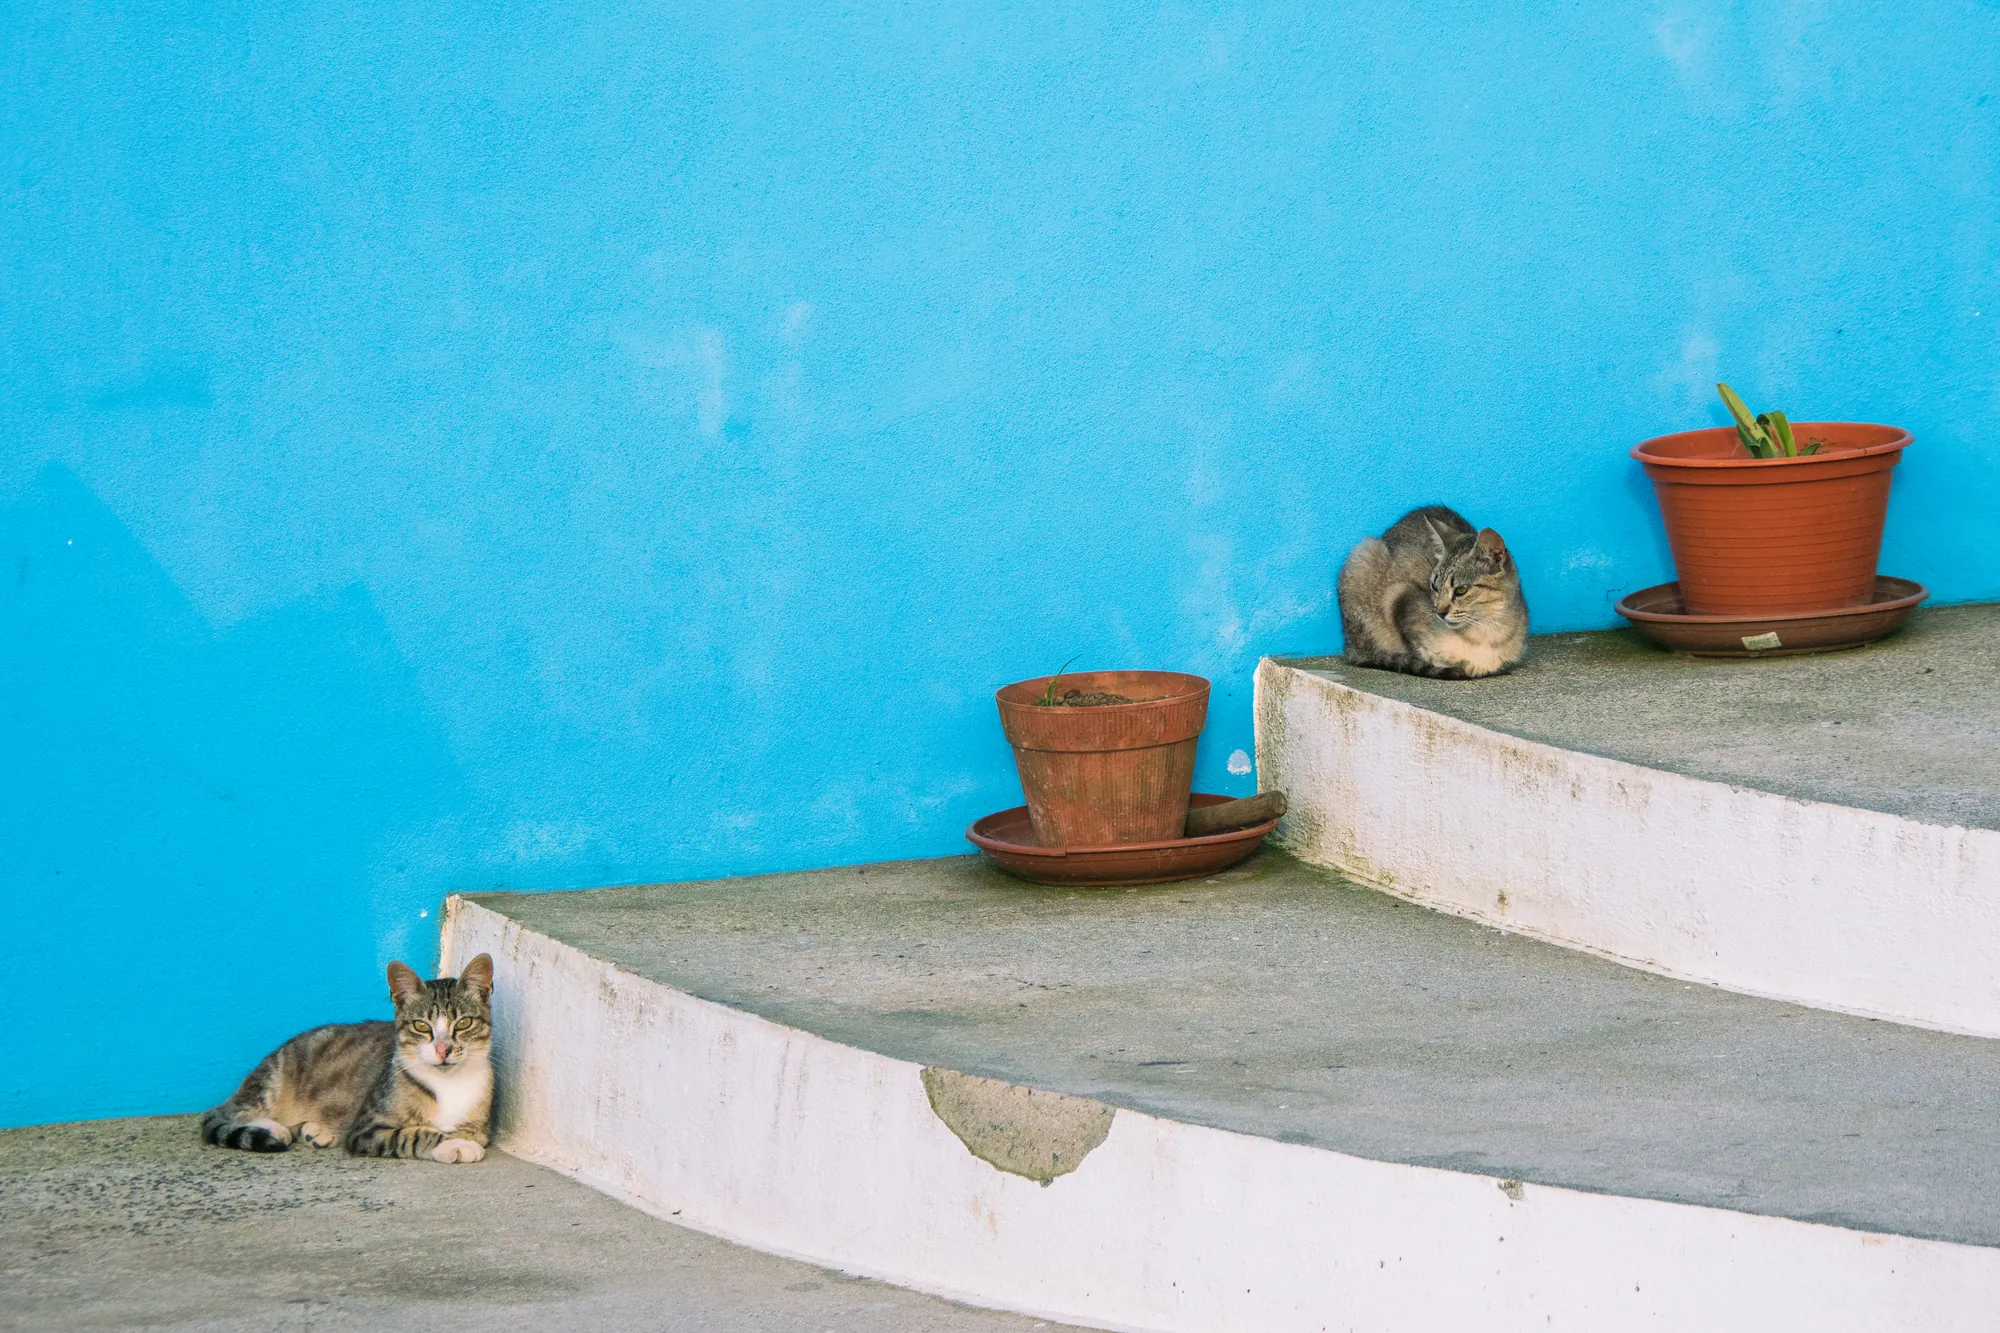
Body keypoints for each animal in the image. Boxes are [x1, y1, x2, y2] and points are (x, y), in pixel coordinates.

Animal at [202, 948, 496, 1160]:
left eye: (464, 1023)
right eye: (422, 1026)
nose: (443, 1049)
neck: (448, 1083)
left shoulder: (481, 1124)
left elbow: (472, 1132)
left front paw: (461, 1139)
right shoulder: (366, 1130)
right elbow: (412, 1134)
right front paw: (454, 1144)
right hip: (272, 1081)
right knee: (228, 1112)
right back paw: (273, 1128)